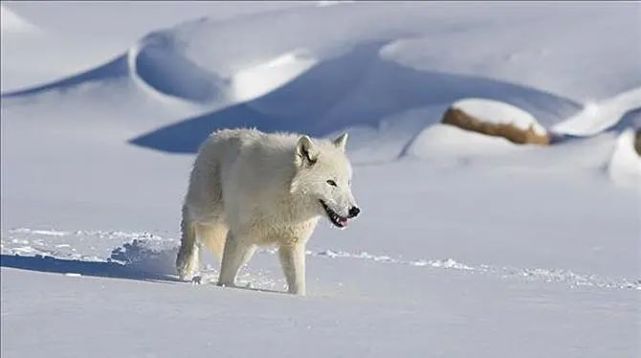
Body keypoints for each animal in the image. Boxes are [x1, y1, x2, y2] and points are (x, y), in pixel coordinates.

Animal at [174, 128, 360, 294]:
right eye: (331, 182)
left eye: (348, 183)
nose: (355, 210)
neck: (285, 193)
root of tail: (215, 135)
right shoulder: (238, 237)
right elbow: (225, 279)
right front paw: (225, 289)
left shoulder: (292, 245)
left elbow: (298, 286)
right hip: (210, 211)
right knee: (187, 214)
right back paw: (185, 263)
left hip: (248, 247)